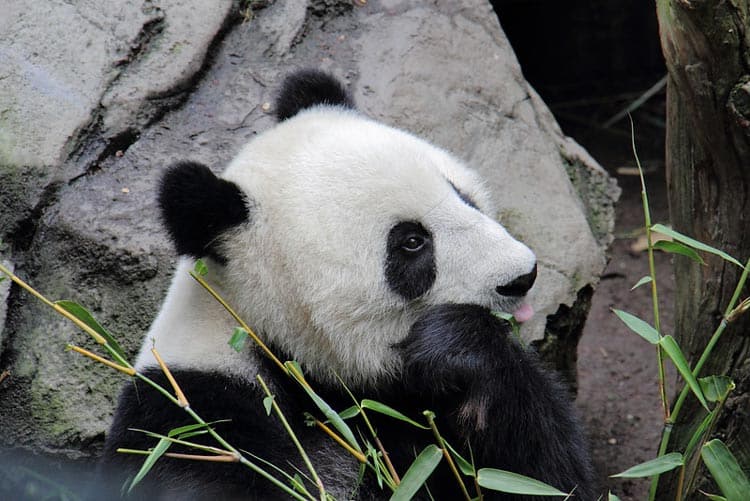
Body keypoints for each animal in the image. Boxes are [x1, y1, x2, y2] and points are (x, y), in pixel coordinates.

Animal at [101, 68, 592, 498]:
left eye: (463, 196)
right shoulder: (193, 419)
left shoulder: (415, 413)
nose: (521, 276)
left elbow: (538, 477)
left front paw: (460, 347)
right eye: (411, 242)